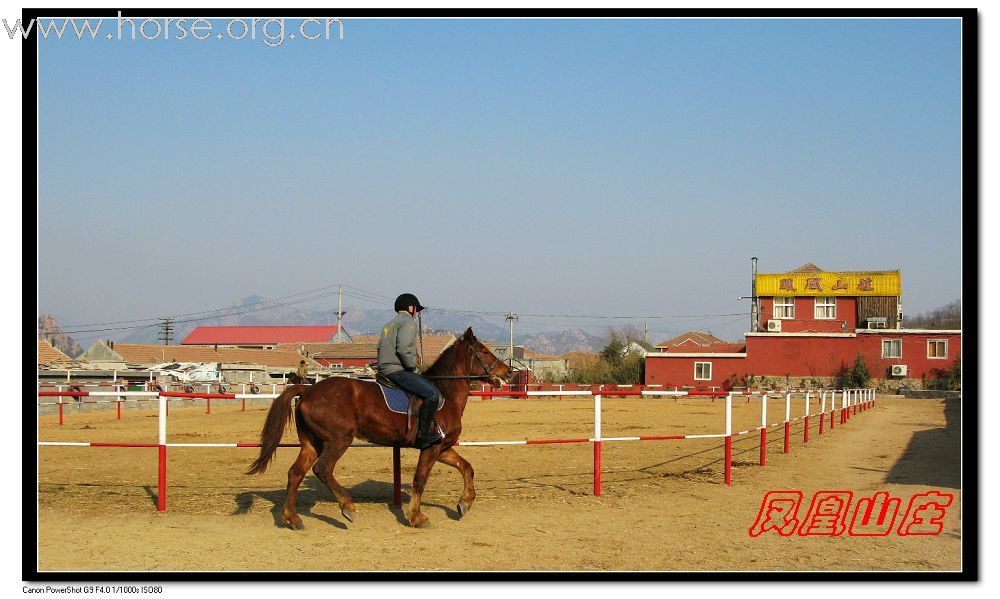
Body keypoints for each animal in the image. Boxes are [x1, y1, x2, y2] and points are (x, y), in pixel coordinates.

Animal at [243, 328, 508, 528]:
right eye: (484, 351)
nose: (508, 371)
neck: (445, 394)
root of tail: (308, 391)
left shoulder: (441, 447)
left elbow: (467, 468)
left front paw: (464, 503)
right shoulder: (431, 448)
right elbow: (420, 480)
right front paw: (417, 517)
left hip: (311, 444)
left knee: (295, 473)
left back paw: (293, 518)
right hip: (338, 440)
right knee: (323, 469)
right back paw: (347, 507)